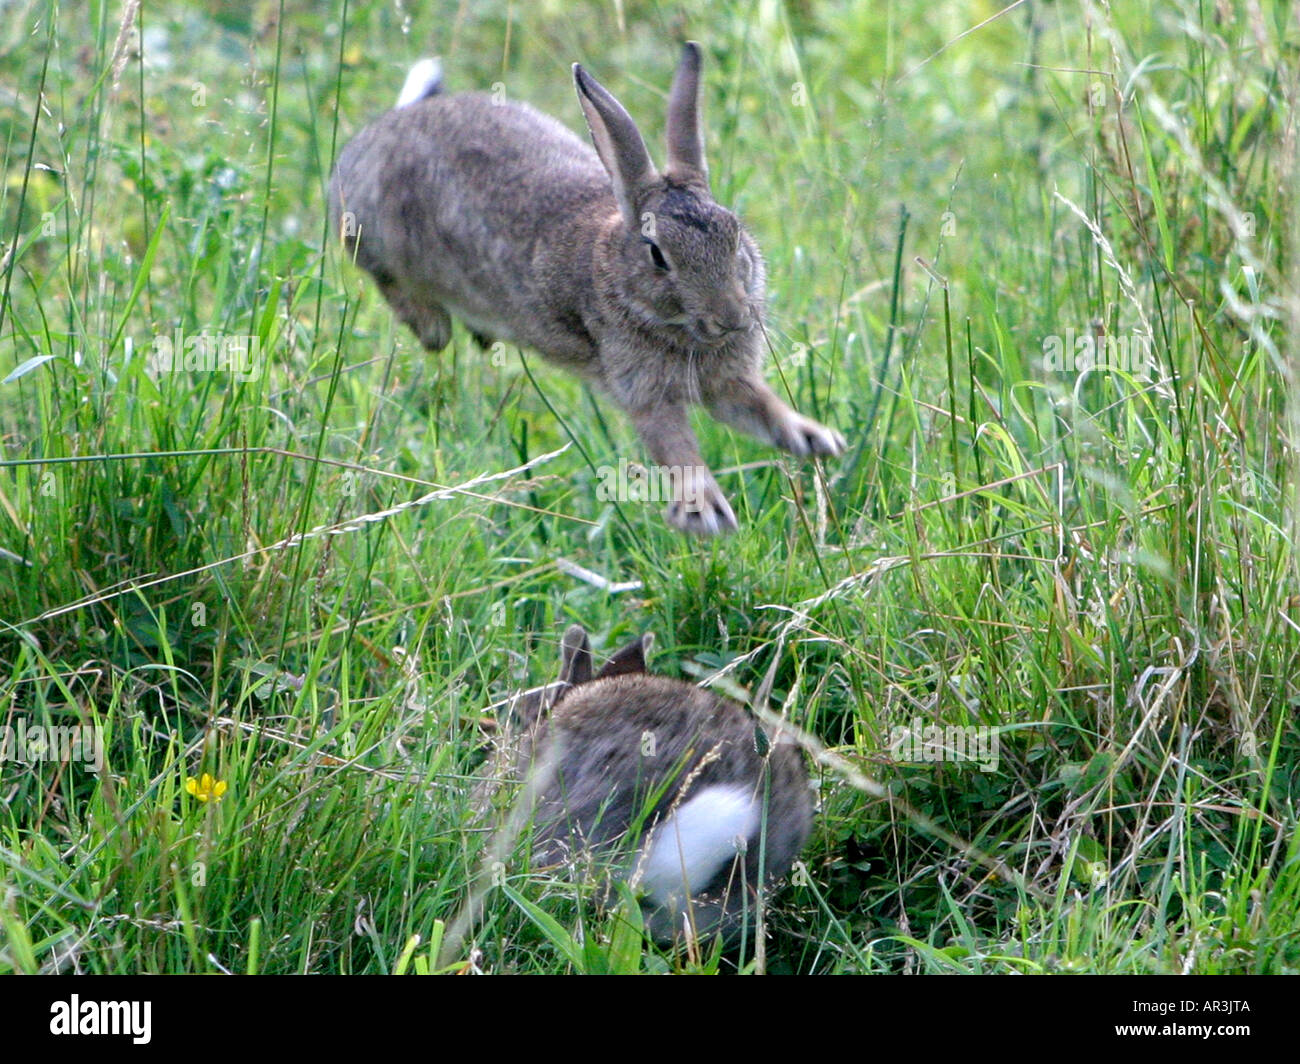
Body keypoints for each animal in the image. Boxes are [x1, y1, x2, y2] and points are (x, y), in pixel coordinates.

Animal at [328, 42, 846, 536]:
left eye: (736, 235)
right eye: (658, 255)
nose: (731, 318)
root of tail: (381, 130)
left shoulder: (728, 381)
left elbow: (762, 407)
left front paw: (818, 440)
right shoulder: (644, 391)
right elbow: (676, 449)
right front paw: (704, 514)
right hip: (375, 241)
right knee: (401, 296)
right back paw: (432, 321)